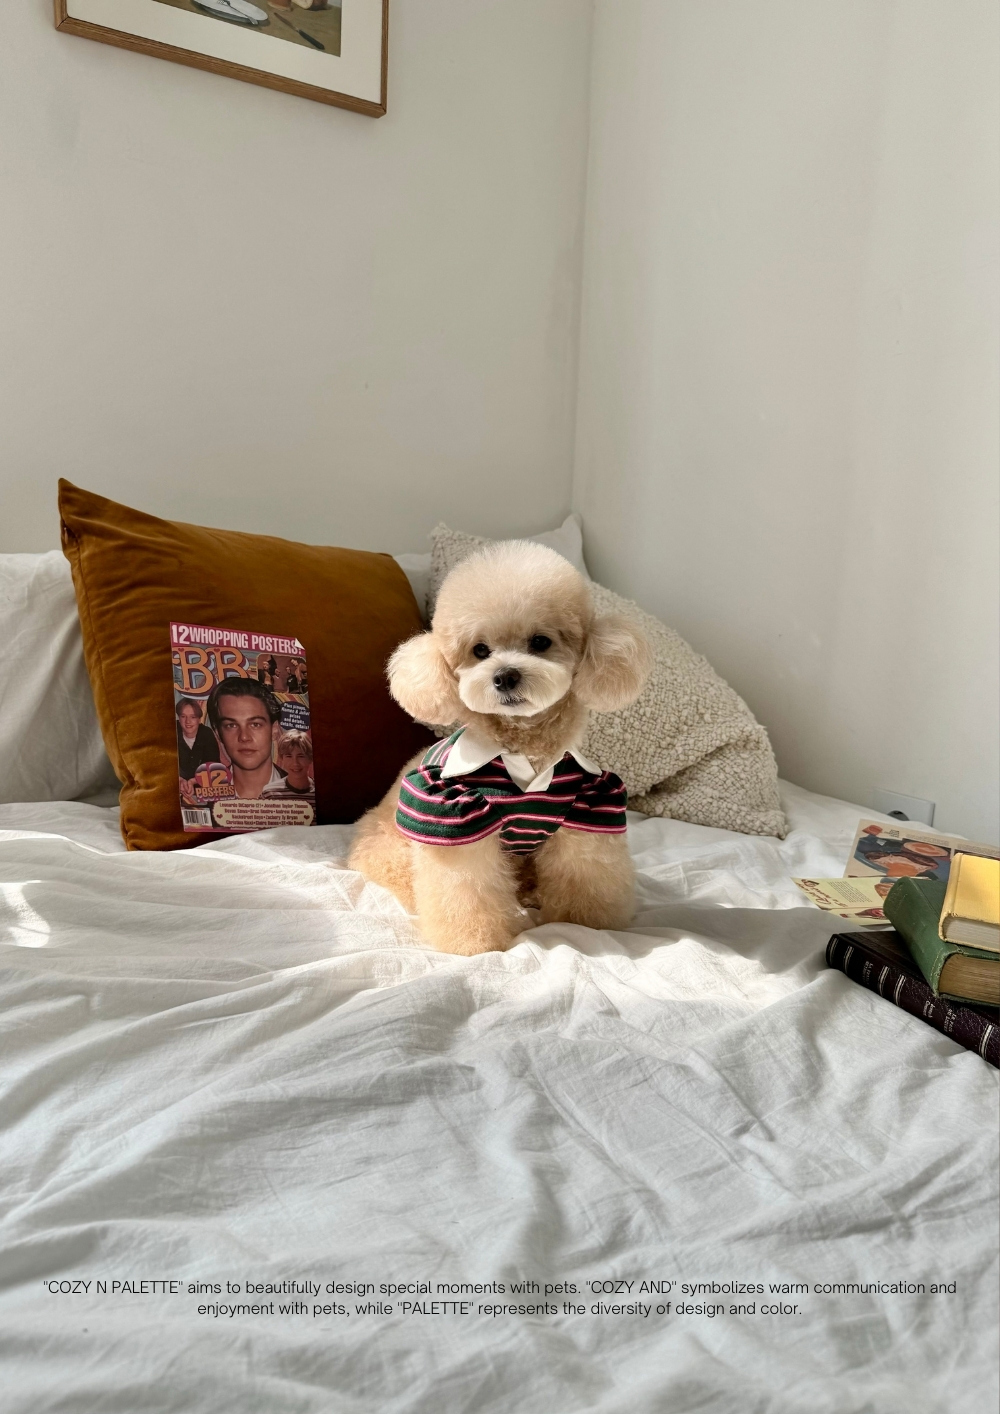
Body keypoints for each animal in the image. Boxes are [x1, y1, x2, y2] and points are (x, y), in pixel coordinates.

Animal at [348, 541, 651, 955]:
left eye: (540, 642)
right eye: (480, 650)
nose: (505, 676)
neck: (525, 750)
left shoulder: (588, 807)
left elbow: (584, 877)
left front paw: (583, 926)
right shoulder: (455, 821)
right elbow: (466, 892)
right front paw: (476, 943)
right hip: (391, 850)